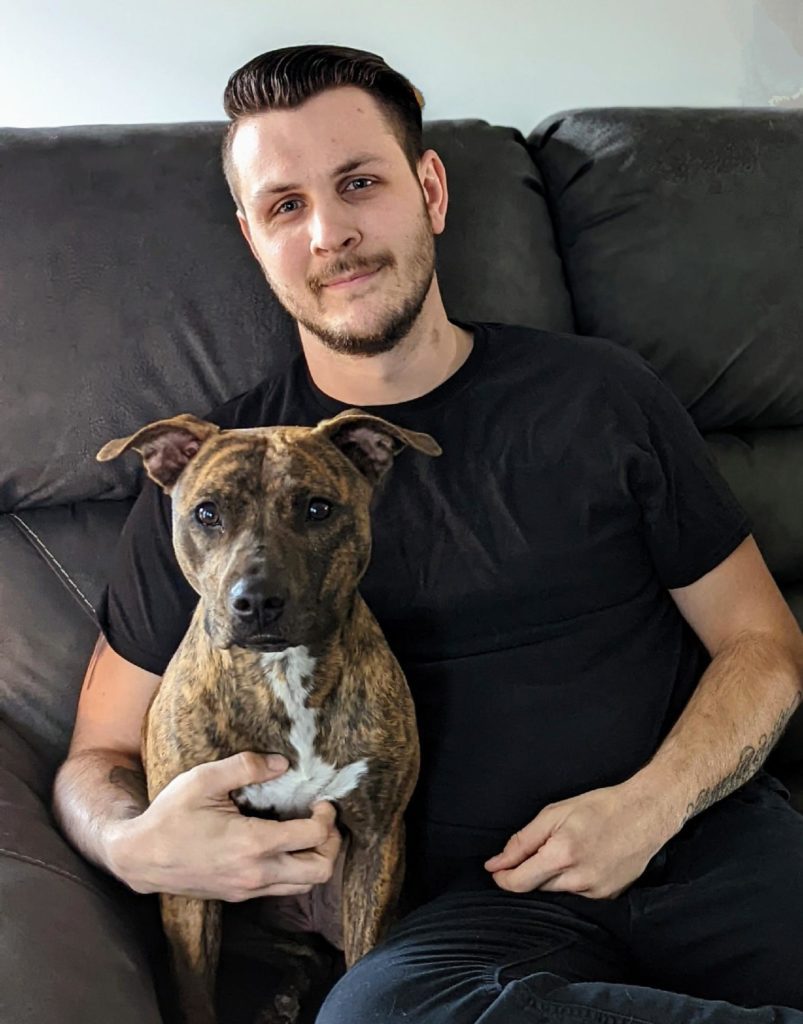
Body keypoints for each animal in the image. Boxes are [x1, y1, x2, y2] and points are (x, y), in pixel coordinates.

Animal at [98, 407, 444, 1024]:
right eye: (207, 512)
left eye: (317, 508)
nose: (255, 600)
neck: (281, 673)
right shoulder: (189, 860)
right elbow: (195, 989)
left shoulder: (376, 841)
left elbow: (361, 962)